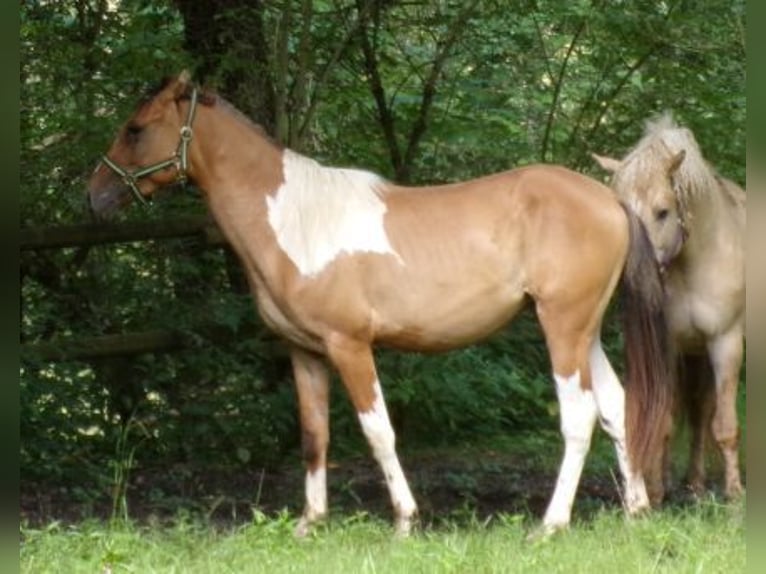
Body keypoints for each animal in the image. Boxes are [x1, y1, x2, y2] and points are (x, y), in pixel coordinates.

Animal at [87, 71, 672, 537]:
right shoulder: (305, 353)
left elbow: (378, 432)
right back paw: (636, 511)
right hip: (583, 331)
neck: (296, 220)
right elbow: (314, 435)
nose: (93, 196)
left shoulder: (349, 346)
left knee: (579, 415)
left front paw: (405, 521)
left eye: (136, 128)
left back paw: (551, 525)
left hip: (563, 328)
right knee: (616, 407)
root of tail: (610, 198)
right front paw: (310, 523)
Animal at [593, 113, 745, 504]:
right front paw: (658, 490)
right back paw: (694, 482)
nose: (631, 271)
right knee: (698, 412)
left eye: (663, 212)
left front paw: (734, 494)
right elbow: (668, 419)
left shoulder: (726, 342)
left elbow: (725, 425)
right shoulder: (674, 346)